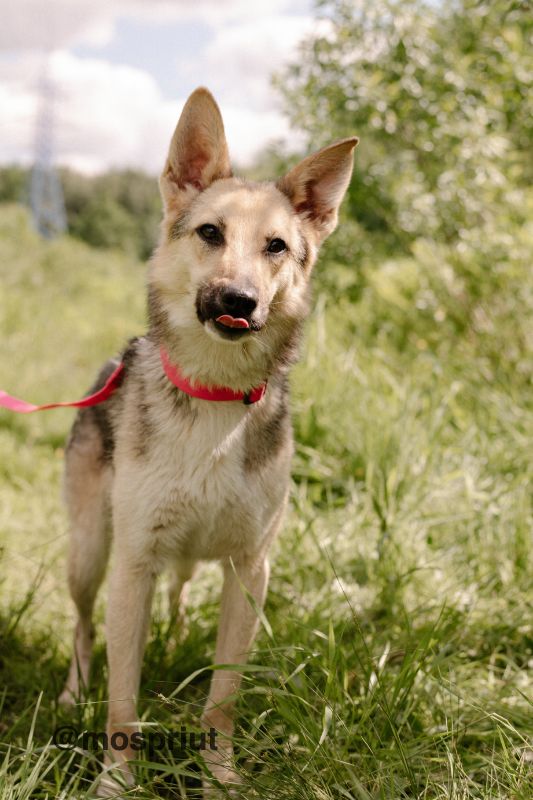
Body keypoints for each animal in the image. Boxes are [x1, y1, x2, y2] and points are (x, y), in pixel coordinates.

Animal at [60, 89, 356, 792]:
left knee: (175, 600)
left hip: (190, 563)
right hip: (88, 555)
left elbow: (223, 696)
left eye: (277, 246)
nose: (239, 300)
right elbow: (122, 694)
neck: (216, 398)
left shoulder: (249, 571)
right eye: (210, 233)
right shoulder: (132, 565)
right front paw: (116, 780)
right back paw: (73, 689)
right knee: (82, 628)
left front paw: (220, 777)